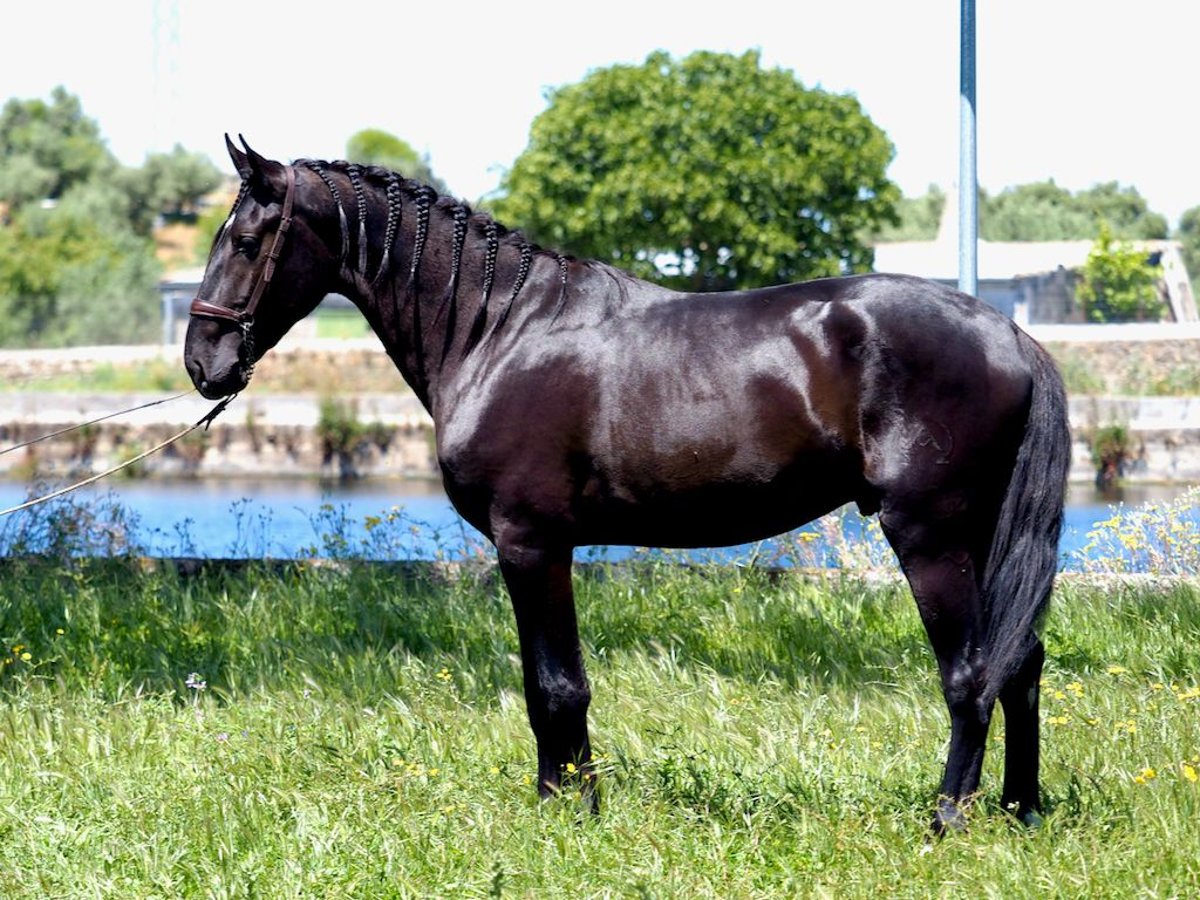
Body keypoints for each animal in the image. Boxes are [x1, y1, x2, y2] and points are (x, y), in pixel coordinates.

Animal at [184, 137, 1070, 835]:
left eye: (249, 238)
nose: (202, 363)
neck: (500, 329)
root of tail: (1008, 333)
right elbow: (545, 686)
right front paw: (565, 800)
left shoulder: (531, 543)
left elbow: (556, 687)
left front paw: (570, 810)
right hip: (982, 534)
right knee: (1020, 661)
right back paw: (1019, 811)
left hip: (929, 535)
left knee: (969, 676)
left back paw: (946, 820)